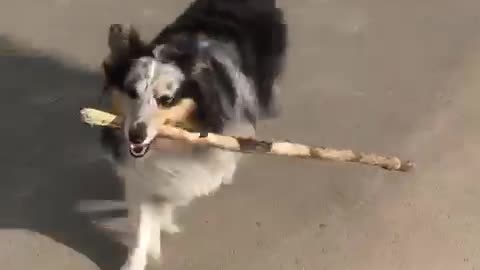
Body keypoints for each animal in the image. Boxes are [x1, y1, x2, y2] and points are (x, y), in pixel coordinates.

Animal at [97, 1, 284, 268]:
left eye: (166, 100)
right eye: (132, 92)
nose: (135, 136)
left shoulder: (191, 168)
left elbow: (174, 193)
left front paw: (162, 223)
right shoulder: (141, 174)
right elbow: (143, 222)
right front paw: (140, 256)